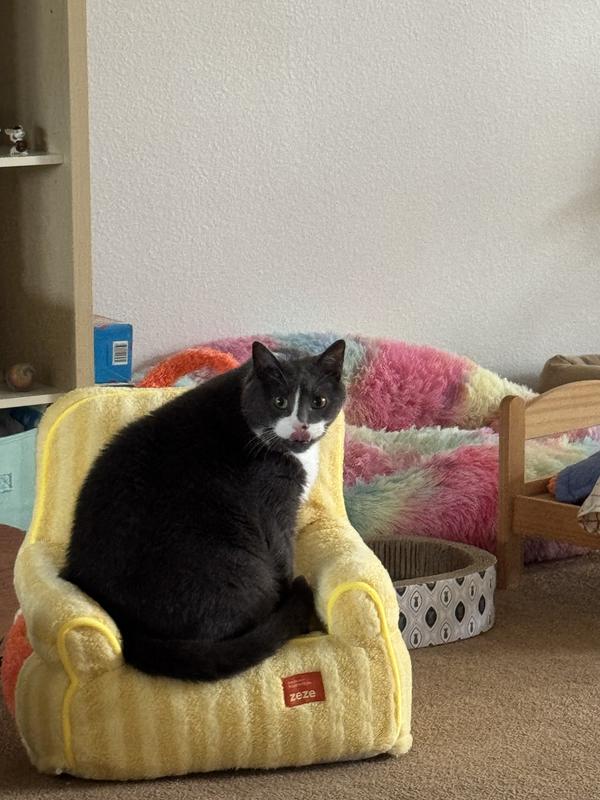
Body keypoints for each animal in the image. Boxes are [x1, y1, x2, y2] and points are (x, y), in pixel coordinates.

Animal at [61, 339, 346, 681]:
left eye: (319, 401)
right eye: (279, 402)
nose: (301, 425)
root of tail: (127, 629)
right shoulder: (274, 506)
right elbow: (284, 557)